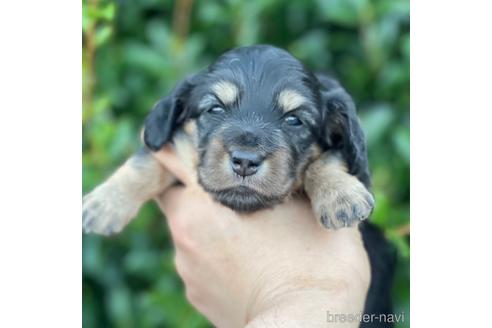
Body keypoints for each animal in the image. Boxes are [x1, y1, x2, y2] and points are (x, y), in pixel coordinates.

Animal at [82, 45, 372, 236]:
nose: (245, 161)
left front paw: (340, 196)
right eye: (216, 109)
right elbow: (145, 163)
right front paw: (105, 204)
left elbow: (327, 160)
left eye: (294, 120)